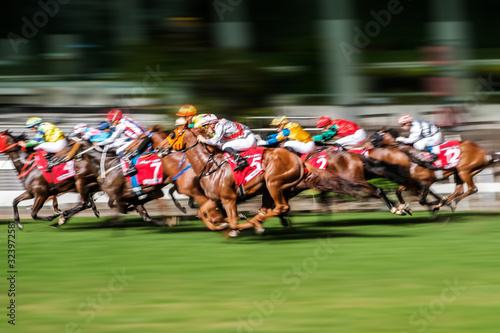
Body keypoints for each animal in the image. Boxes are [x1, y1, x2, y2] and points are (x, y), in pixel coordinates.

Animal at [156, 125, 372, 236]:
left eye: (172, 134)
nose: (159, 149)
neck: (208, 165)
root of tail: (299, 160)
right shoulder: (215, 198)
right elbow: (204, 214)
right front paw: (221, 225)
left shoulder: (228, 199)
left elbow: (232, 220)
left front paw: (236, 226)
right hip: (270, 188)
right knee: (271, 209)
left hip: (273, 183)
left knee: (280, 207)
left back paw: (256, 223)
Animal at [370, 128, 498, 209]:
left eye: (374, 136)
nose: (368, 147)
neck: (409, 157)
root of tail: (485, 153)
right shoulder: (411, 181)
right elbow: (398, 191)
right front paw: (403, 206)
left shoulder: (427, 181)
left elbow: (422, 200)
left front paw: (438, 201)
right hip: (459, 172)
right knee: (459, 190)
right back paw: (445, 202)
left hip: (464, 170)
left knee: (472, 189)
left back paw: (451, 203)